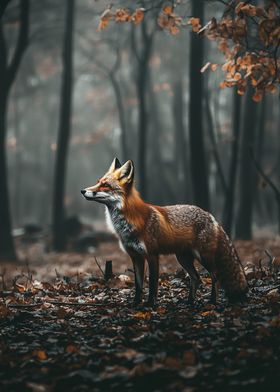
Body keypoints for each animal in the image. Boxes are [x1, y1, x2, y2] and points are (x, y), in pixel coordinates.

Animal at [81, 158, 247, 304]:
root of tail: (210, 215)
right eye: (98, 182)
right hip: (183, 258)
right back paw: (190, 302)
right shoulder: (135, 256)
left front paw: (150, 305)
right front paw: (135, 304)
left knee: (215, 276)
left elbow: (153, 285)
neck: (128, 224)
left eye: (105, 185)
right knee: (196, 278)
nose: (83, 190)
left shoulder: (152, 255)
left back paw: (212, 301)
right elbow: (139, 286)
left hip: (204, 257)